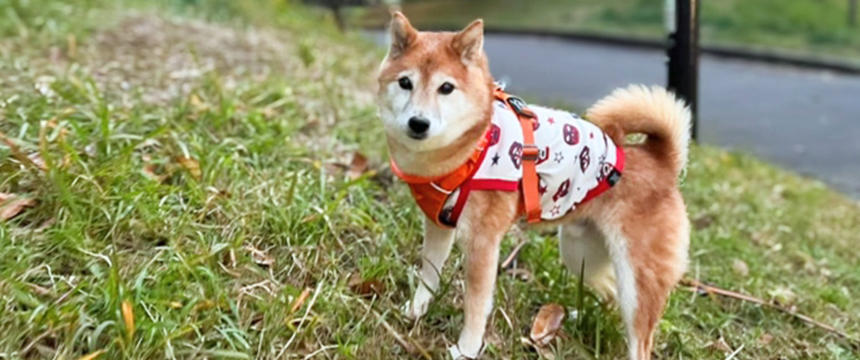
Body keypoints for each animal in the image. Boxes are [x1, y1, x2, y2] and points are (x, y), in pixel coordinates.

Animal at [376, 11, 692, 360]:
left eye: (446, 88)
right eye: (405, 82)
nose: (418, 123)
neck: (471, 147)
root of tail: (659, 160)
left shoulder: (482, 242)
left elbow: (476, 304)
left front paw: (466, 349)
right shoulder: (438, 225)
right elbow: (428, 274)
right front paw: (415, 311)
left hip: (637, 278)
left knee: (640, 338)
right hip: (580, 252)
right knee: (609, 292)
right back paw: (576, 319)